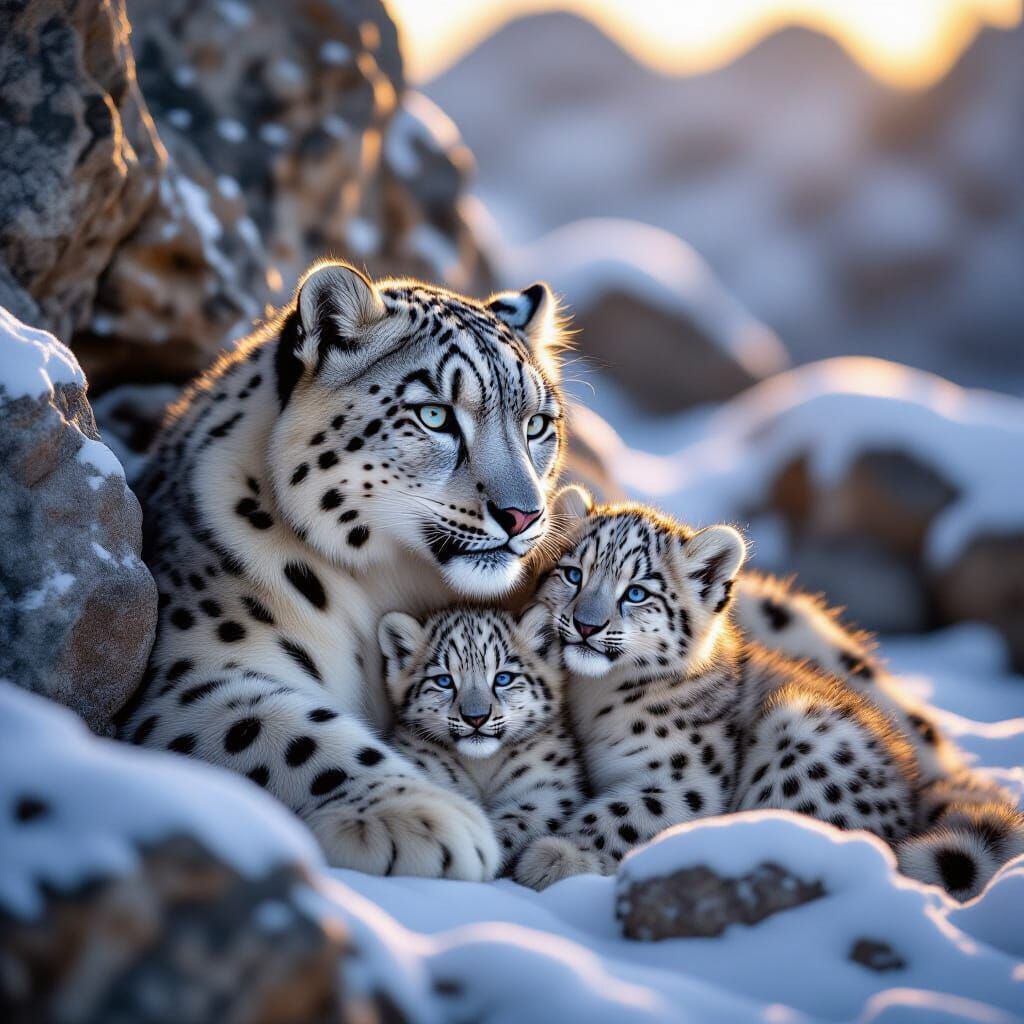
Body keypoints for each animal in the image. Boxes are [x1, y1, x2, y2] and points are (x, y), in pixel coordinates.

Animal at [379, 604, 585, 874]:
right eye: (444, 680)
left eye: (503, 678)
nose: (475, 717)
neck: (482, 768)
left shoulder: (552, 787)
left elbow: (523, 816)